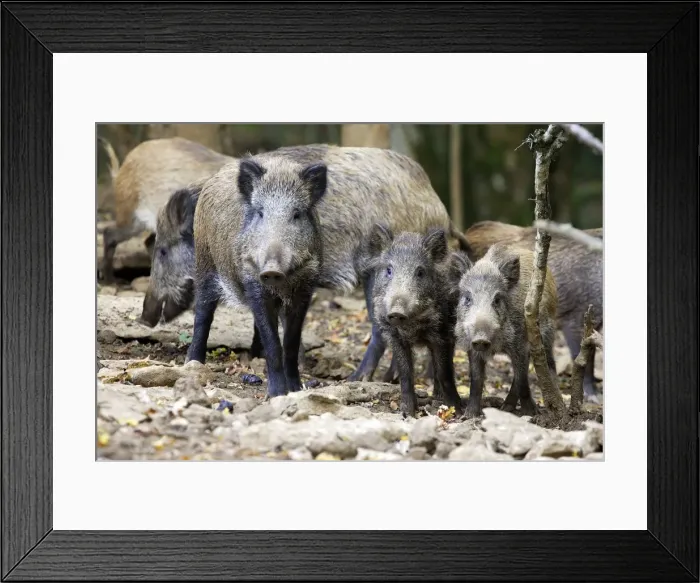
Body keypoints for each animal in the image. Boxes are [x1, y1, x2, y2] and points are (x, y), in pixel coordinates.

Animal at [144, 144, 470, 386]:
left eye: (162, 251)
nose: (145, 317)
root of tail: (441, 211)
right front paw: (257, 357)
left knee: (380, 330)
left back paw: (358, 379)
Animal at [368, 225, 464, 417]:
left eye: (420, 272)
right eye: (389, 270)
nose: (396, 311)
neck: (411, 327)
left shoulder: (441, 334)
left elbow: (444, 372)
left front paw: (457, 410)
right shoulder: (395, 337)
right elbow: (405, 373)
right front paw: (407, 413)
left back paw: (438, 399)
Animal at [453, 243, 559, 418]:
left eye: (497, 299)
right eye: (467, 298)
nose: (481, 338)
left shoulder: (519, 344)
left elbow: (522, 380)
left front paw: (531, 414)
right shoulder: (472, 347)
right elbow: (476, 380)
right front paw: (468, 416)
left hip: (548, 333)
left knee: (546, 365)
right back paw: (505, 408)